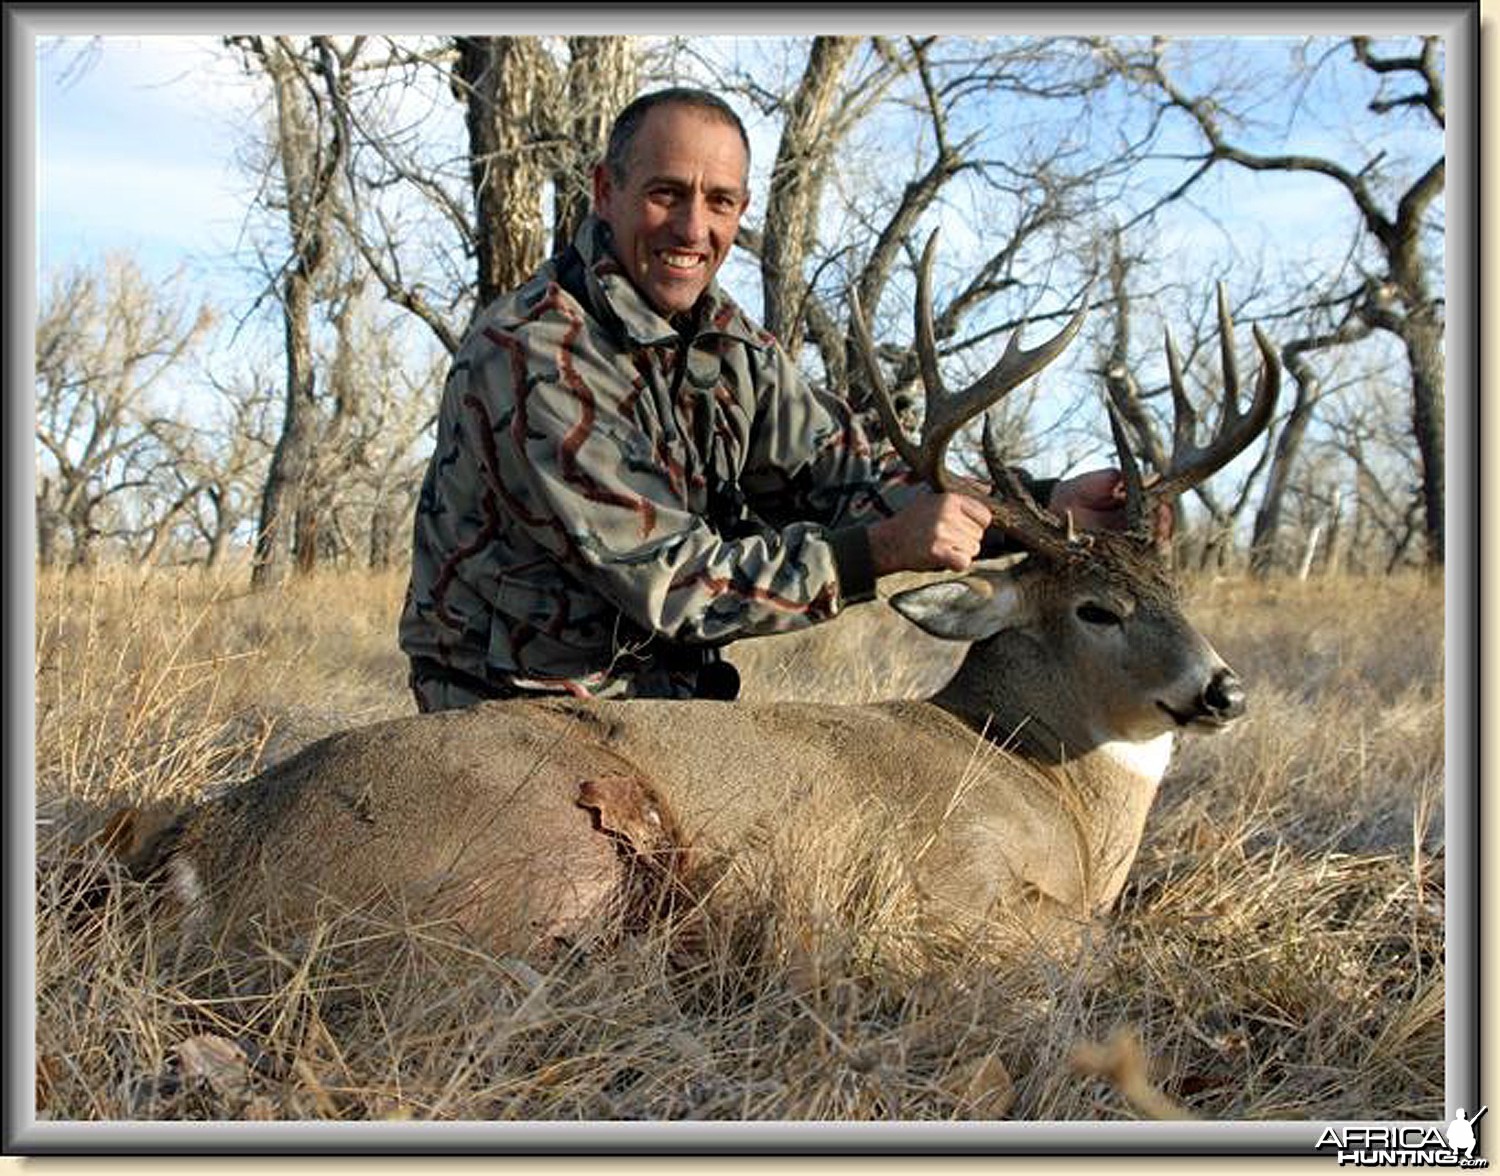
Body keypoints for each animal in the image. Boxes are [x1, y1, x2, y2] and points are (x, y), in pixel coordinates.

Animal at [120, 243, 1278, 960]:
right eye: (1096, 611)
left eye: (1176, 587)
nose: (1222, 689)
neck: (1043, 783)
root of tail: (201, 846)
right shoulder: (945, 884)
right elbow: (1097, 946)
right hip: (536, 854)